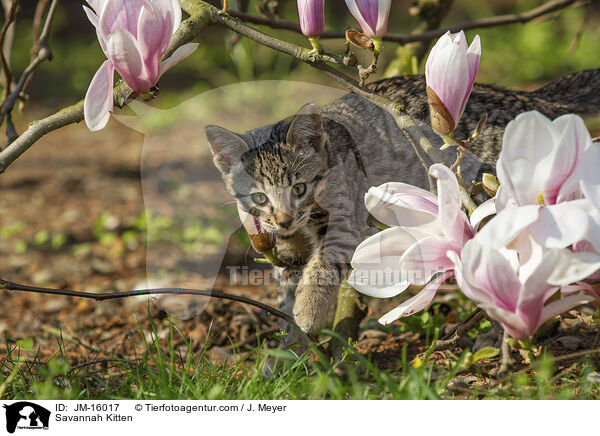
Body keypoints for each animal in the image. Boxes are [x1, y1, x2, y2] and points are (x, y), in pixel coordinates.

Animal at [205, 69, 600, 340]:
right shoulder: (287, 250)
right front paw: (286, 354)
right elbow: (288, 288)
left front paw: (306, 314)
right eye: (259, 197)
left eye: (299, 188)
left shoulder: (345, 223)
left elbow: (322, 269)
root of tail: (524, 98)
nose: (285, 217)